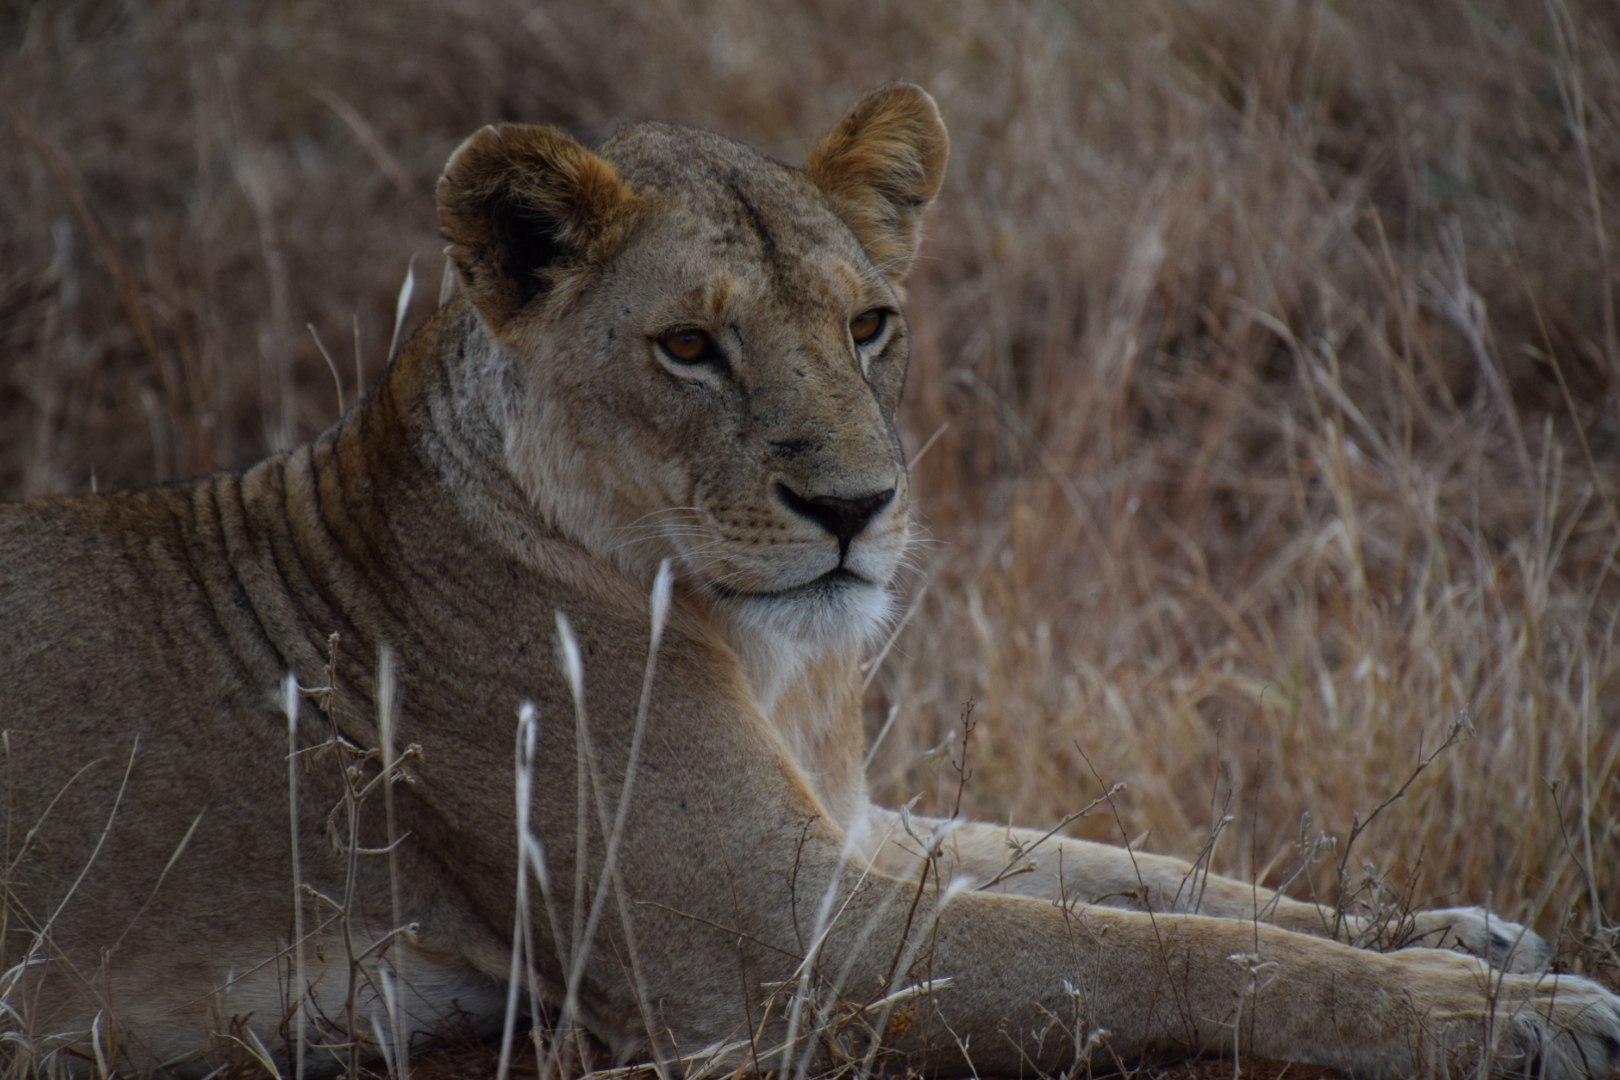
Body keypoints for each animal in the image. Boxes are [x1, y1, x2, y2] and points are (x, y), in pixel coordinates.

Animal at [2, 84, 1617, 1080]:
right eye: (688, 347)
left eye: (869, 324)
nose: (853, 508)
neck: (761, 648)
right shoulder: (775, 953)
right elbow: (1156, 954)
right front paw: (1502, 1015)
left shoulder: (851, 830)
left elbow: (1157, 876)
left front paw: (1459, 936)